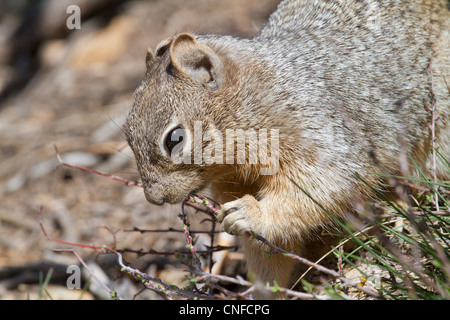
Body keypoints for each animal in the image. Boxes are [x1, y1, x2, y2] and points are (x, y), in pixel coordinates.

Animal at [125, 0, 450, 296]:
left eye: (174, 139)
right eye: (127, 136)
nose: (154, 198)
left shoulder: (317, 132)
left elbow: (324, 187)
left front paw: (251, 214)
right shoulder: (233, 183)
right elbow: (270, 252)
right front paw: (266, 290)